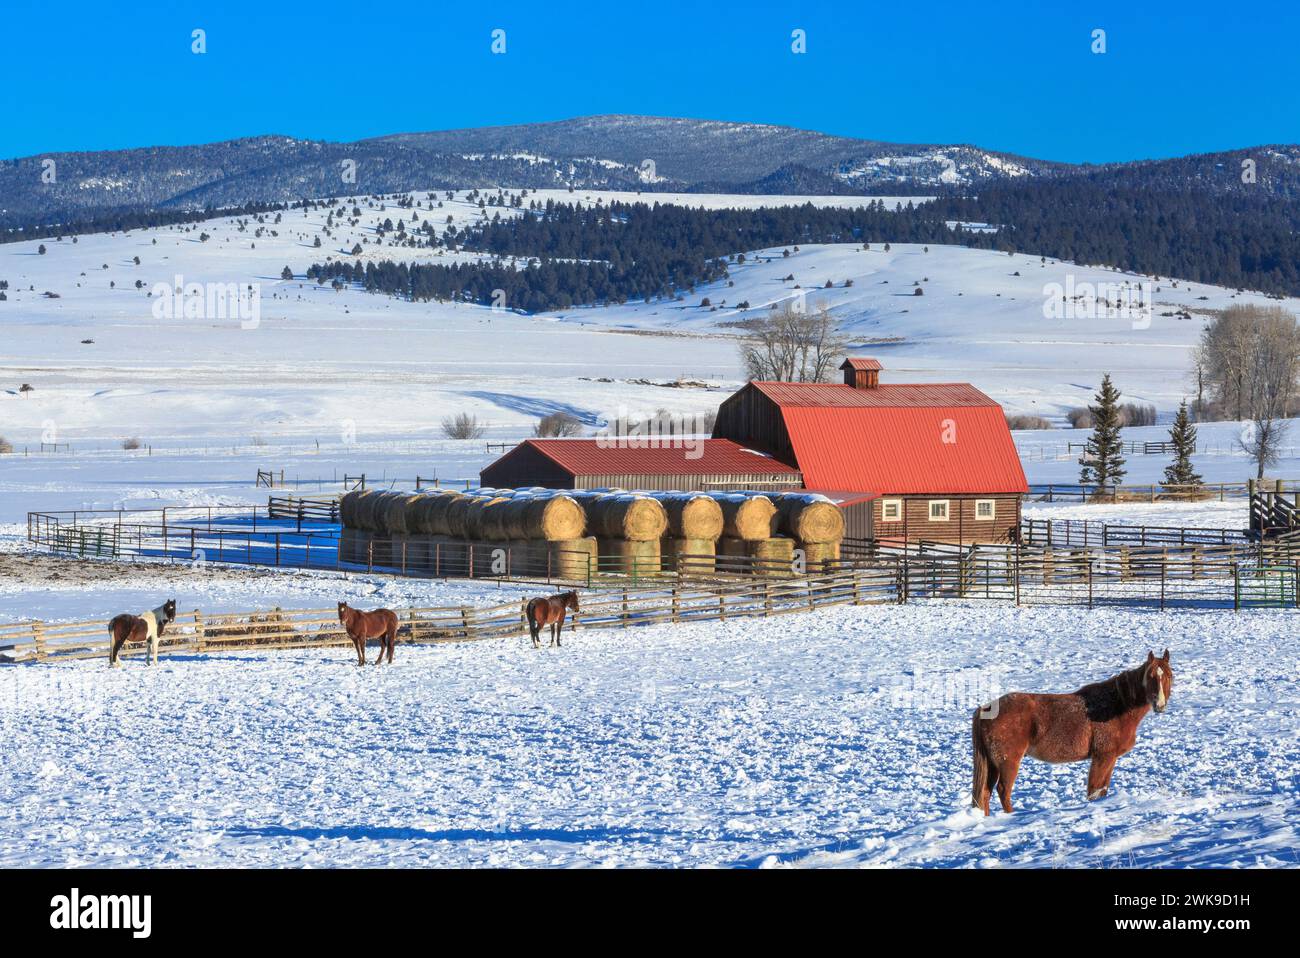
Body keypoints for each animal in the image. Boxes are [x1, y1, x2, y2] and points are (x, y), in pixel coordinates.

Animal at [972, 649, 1173, 815]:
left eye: (1169, 676)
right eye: (1151, 676)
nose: (1160, 705)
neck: (1118, 705)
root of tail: (986, 708)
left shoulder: (1110, 758)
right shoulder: (1103, 757)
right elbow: (1094, 791)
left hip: (993, 764)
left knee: (985, 793)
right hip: (1007, 763)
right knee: (1003, 792)